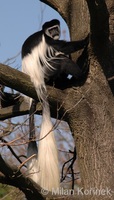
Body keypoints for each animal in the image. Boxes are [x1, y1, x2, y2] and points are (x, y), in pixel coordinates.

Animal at [21, 18, 89, 191]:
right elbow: (64, 47)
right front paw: (87, 39)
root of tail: (36, 80)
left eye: (55, 28)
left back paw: (63, 83)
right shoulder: (49, 41)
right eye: (51, 30)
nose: (55, 32)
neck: (45, 33)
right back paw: (80, 74)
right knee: (62, 59)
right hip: (47, 69)